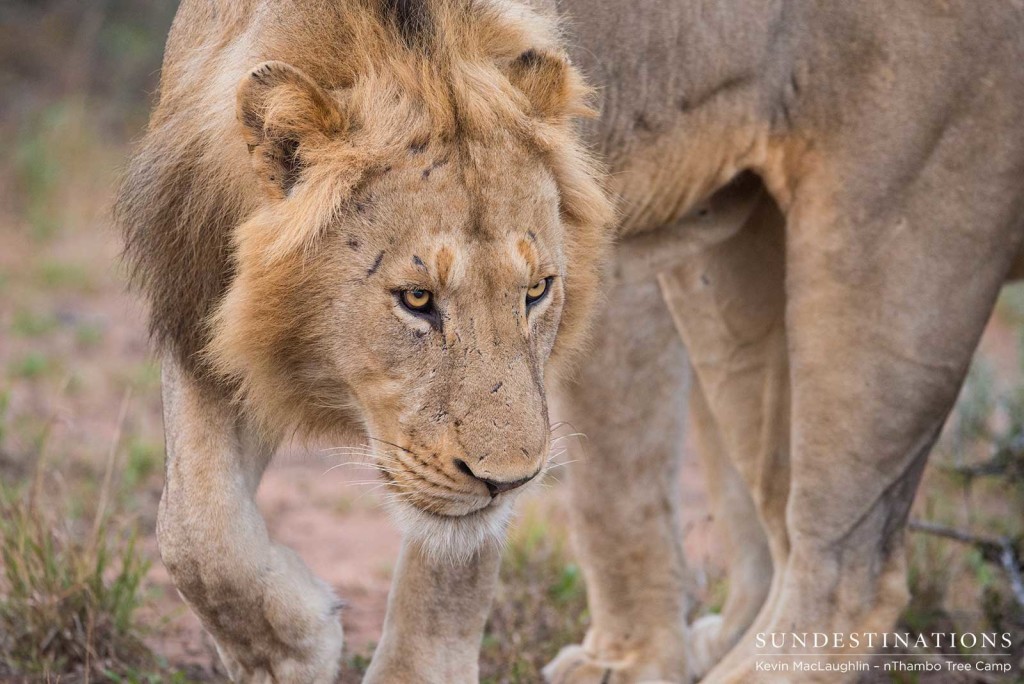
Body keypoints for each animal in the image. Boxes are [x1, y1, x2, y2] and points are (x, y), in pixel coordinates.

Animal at [116, 1, 1024, 684]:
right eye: (417, 300)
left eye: (537, 291)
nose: (507, 481)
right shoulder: (200, 305)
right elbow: (195, 530)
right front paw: (290, 650)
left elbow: (484, 553)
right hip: (736, 269)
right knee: (780, 517)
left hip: (890, 251)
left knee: (850, 571)